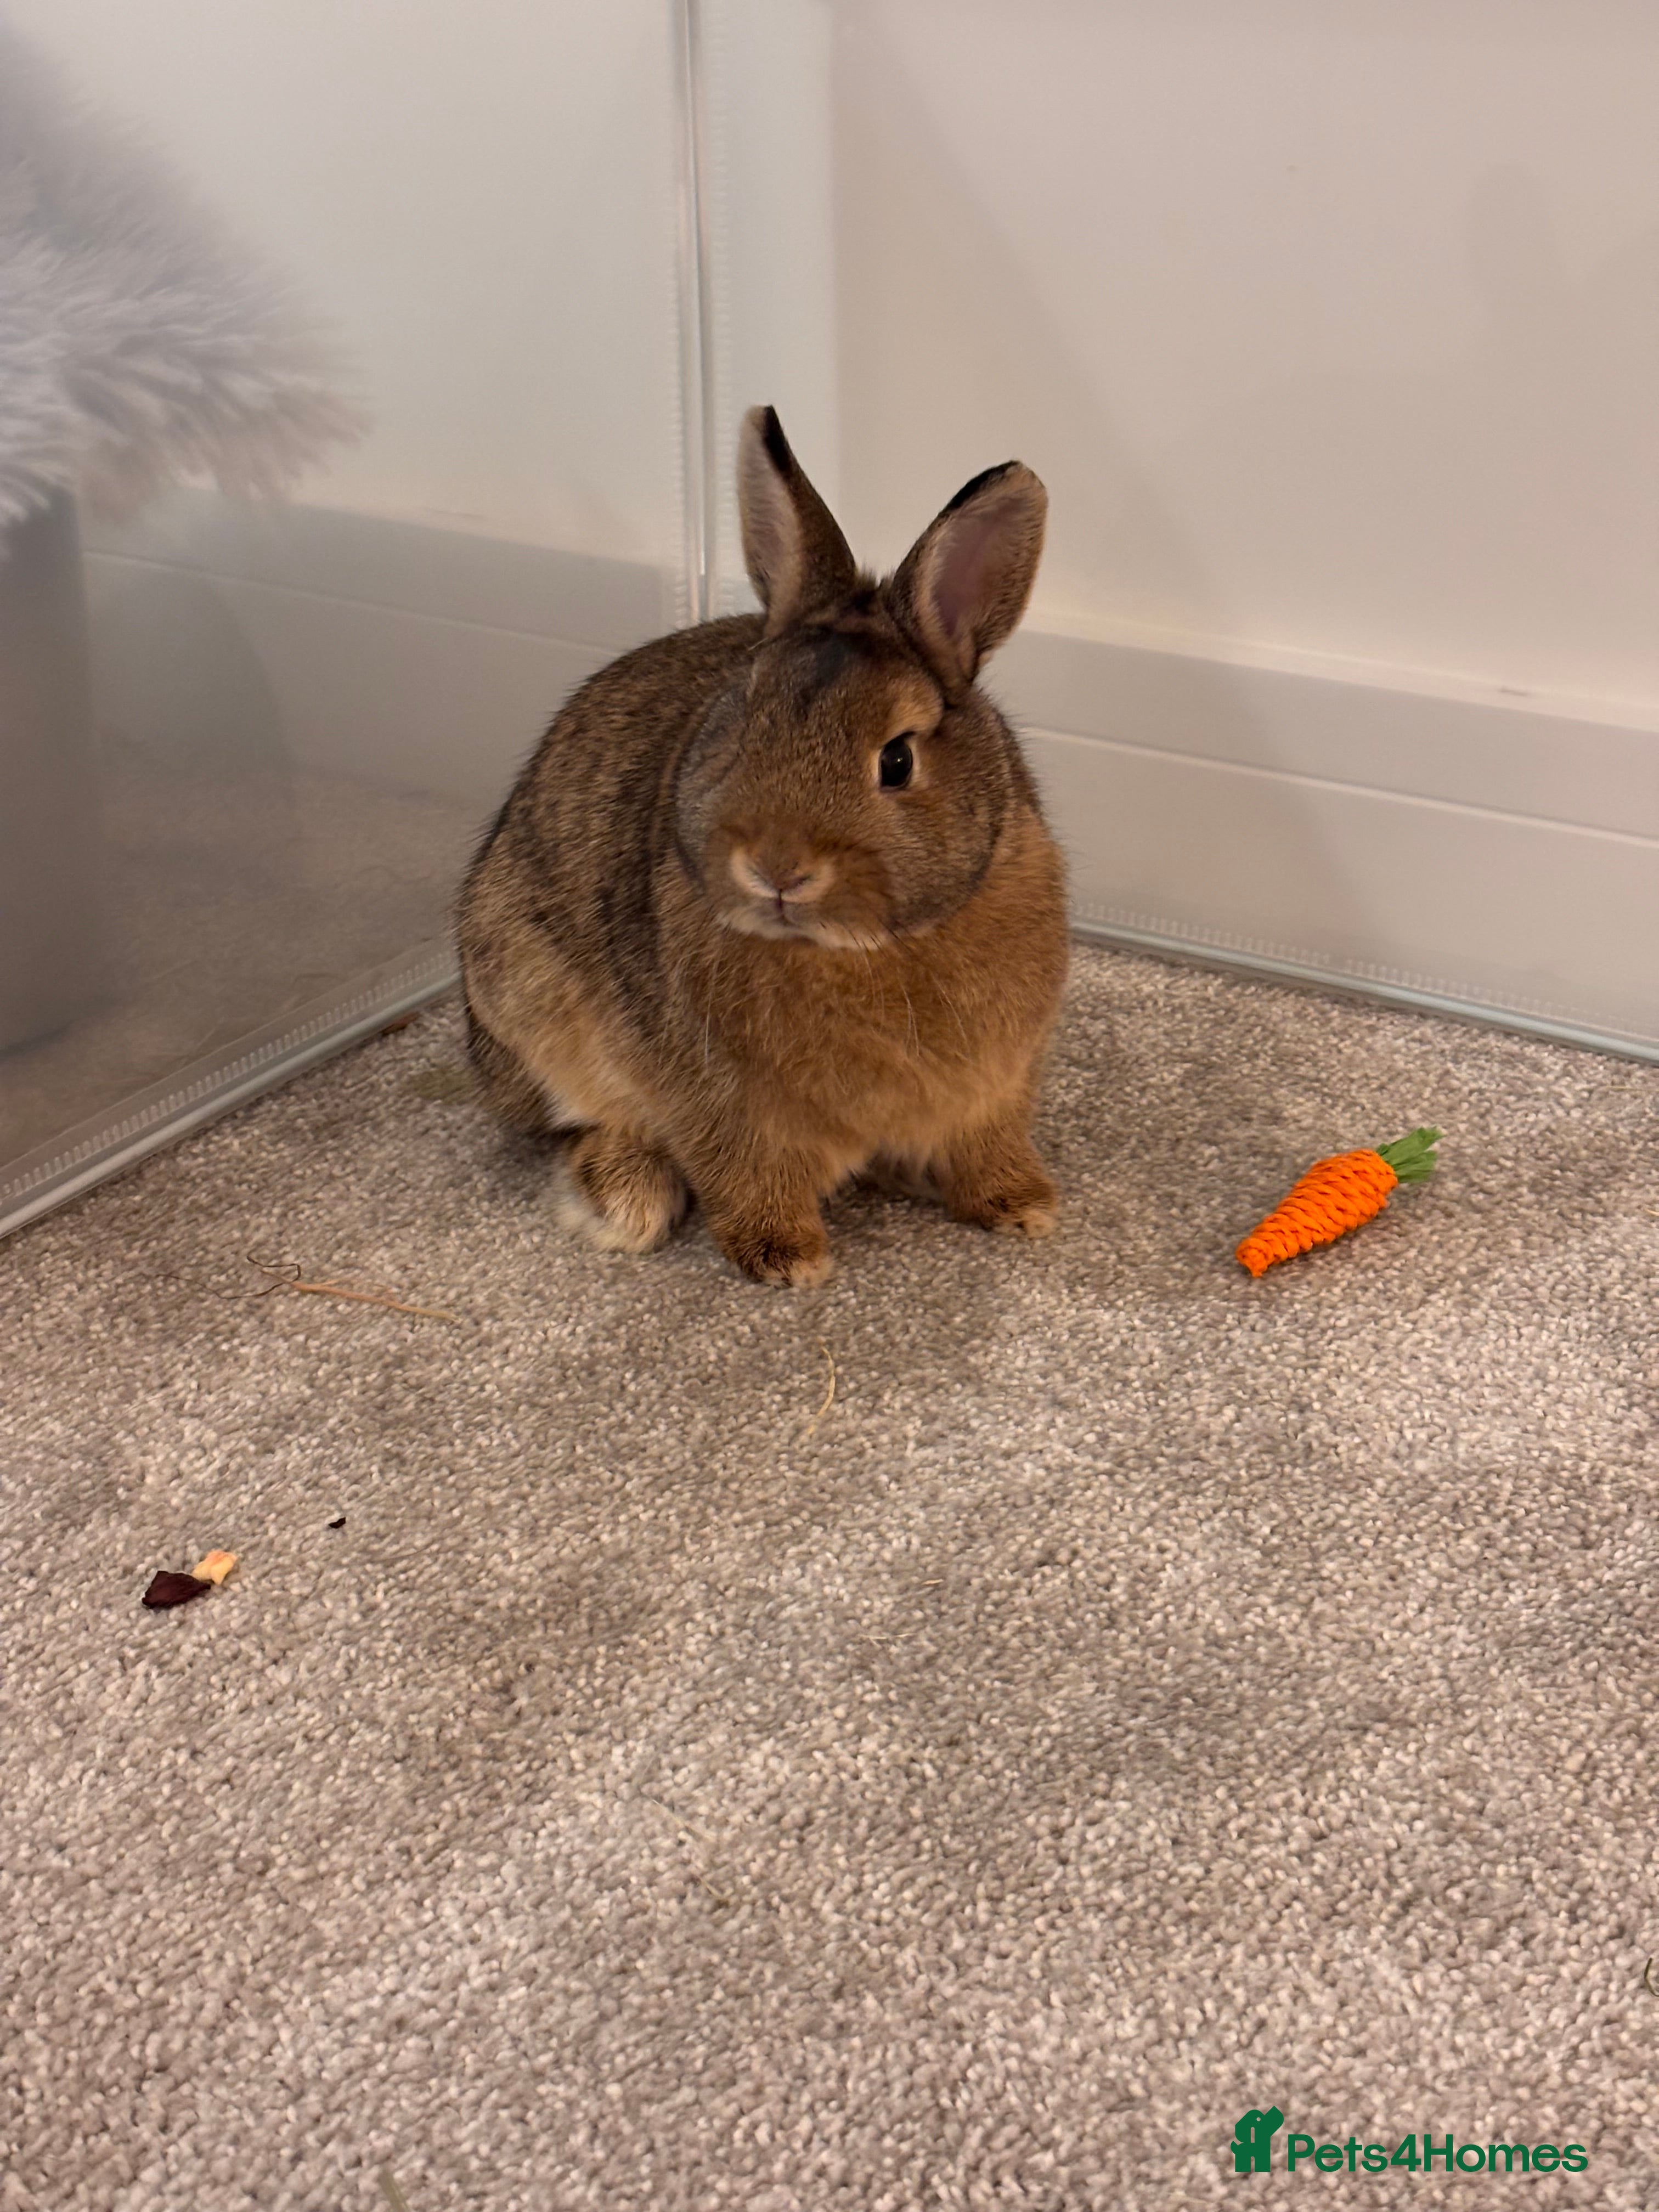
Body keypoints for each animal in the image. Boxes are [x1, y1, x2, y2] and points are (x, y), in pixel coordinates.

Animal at [457, 406, 1068, 1287]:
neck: (863, 950)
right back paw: (626, 1201)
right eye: (741, 722)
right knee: (576, 1124)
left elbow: (987, 1143)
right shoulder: (720, 1098)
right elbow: (745, 1171)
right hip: (530, 1001)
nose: (777, 868)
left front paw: (1022, 1206)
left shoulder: (998, 1083)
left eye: (897, 760)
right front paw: (786, 1258)